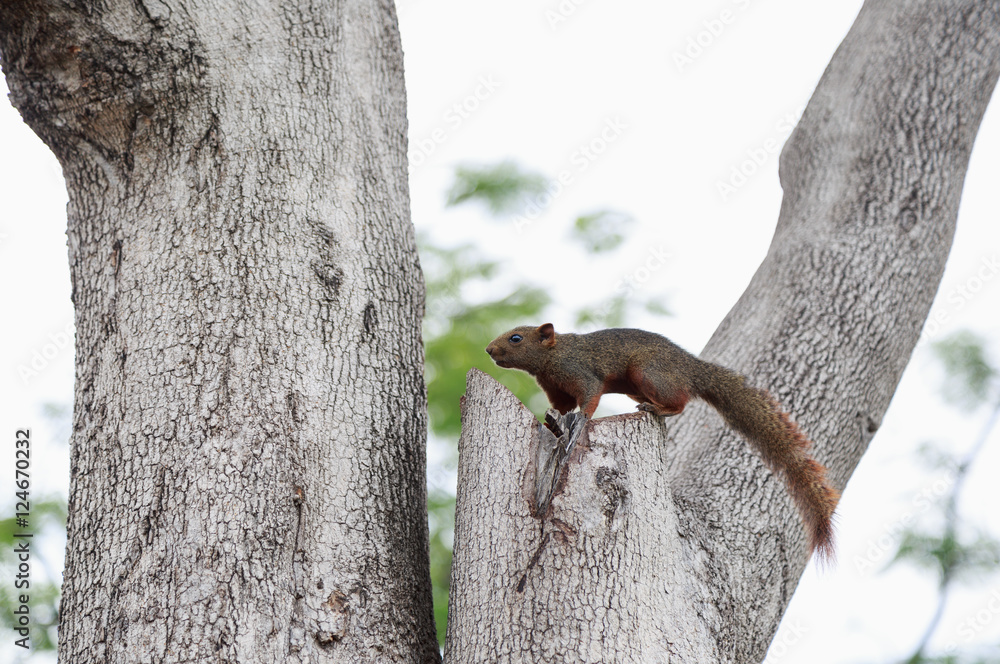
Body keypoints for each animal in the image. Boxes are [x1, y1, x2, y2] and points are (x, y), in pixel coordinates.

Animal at [485, 323, 840, 561]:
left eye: (516, 338)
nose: (488, 350)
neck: (552, 356)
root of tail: (693, 369)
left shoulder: (582, 374)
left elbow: (589, 399)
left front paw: (582, 419)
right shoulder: (555, 389)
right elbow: (560, 407)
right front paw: (553, 417)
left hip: (648, 372)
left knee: (680, 402)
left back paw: (657, 408)